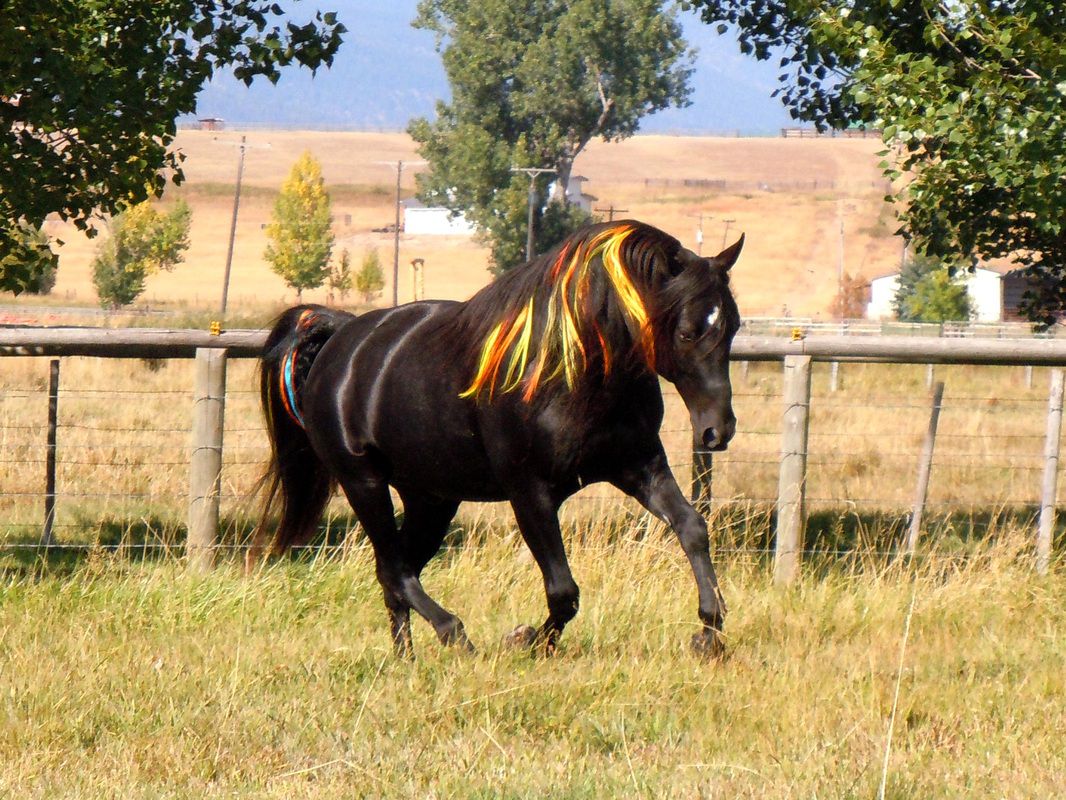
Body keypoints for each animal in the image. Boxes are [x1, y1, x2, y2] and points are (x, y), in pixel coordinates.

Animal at [249, 219, 743, 659]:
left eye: (734, 325)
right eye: (687, 331)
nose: (718, 431)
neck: (577, 374)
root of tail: (340, 340)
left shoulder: (639, 466)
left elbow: (692, 528)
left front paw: (708, 632)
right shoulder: (530, 492)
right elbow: (563, 590)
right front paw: (525, 639)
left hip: (431, 497)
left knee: (396, 572)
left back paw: (406, 657)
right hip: (363, 483)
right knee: (395, 570)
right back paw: (456, 637)